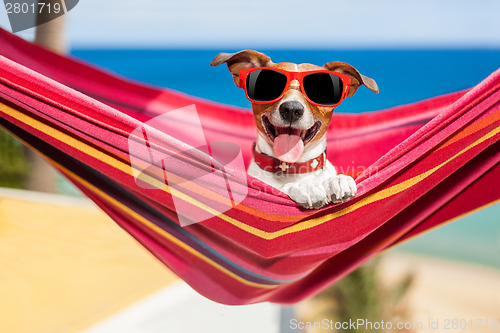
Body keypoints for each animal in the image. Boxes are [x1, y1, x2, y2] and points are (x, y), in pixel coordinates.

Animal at [209, 50, 376, 208]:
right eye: (268, 84)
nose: (291, 109)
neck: (293, 167)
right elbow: (282, 187)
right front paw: (304, 187)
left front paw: (337, 180)